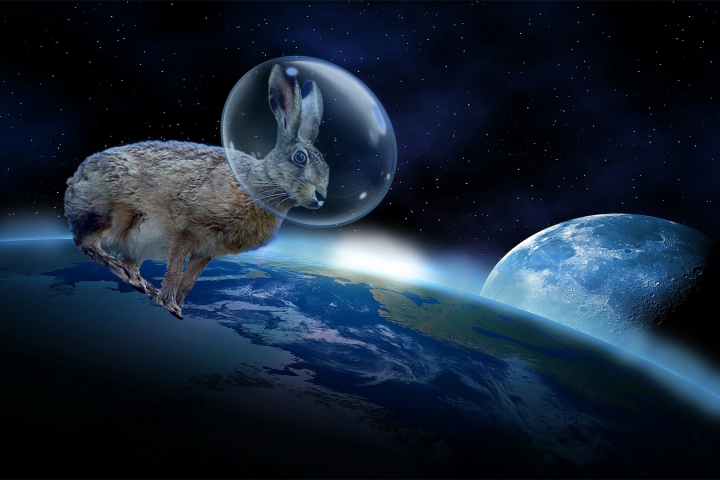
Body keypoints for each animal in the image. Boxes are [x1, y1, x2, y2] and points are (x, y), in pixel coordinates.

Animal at [64, 62, 328, 319]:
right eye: (300, 158)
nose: (321, 198)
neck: (262, 183)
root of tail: (75, 180)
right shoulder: (186, 230)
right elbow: (175, 271)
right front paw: (169, 305)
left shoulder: (206, 250)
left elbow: (189, 281)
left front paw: (179, 308)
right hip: (115, 214)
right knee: (88, 244)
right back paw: (124, 273)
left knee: (123, 259)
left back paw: (140, 283)